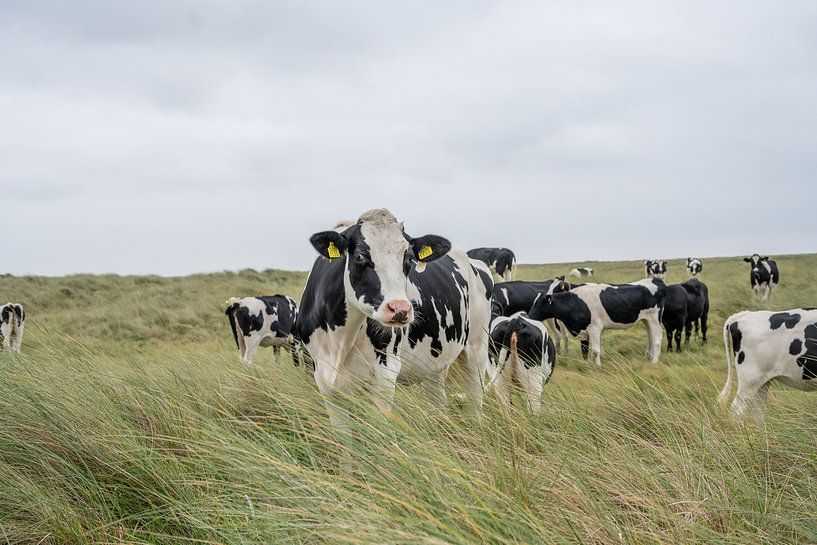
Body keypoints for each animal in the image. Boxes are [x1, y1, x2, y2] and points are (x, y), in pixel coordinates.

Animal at [297, 209, 493, 442]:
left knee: (475, 397)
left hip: (476, 348)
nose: (400, 309)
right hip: (435, 362)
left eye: (409, 258)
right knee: (438, 400)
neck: (340, 342)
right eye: (360, 256)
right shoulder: (324, 379)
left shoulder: (385, 373)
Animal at [528, 278, 665, 366]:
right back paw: (648, 357)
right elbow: (584, 350)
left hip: (654, 319)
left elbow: (595, 350)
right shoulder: (583, 330)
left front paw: (597, 366)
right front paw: (586, 365)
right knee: (651, 337)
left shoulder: (595, 329)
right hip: (646, 320)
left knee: (657, 340)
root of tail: (656, 280)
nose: (529, 316)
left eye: (539, 304)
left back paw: (653, 362)